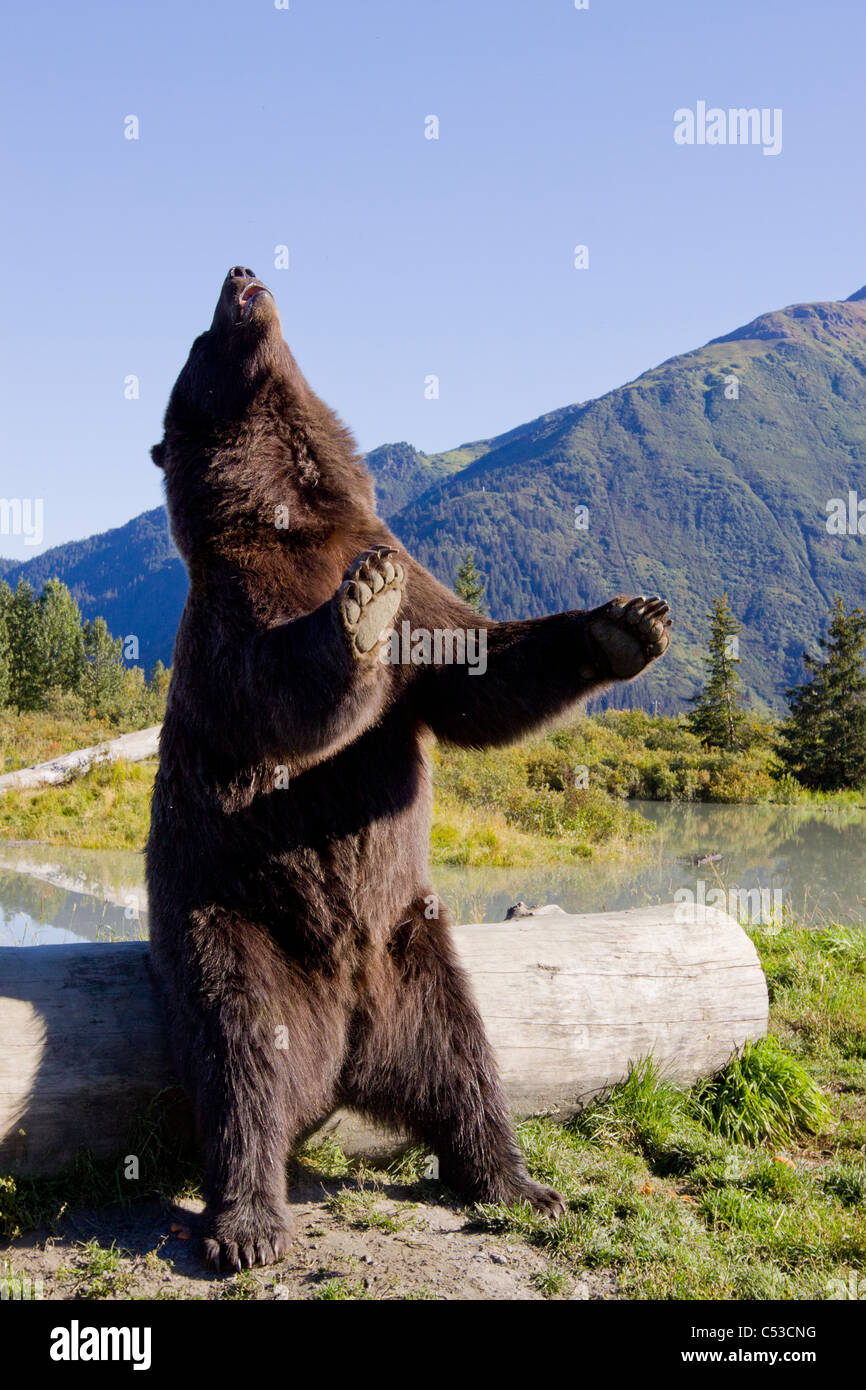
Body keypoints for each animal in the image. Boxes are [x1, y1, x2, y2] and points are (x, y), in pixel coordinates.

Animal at [148, 268, 675, 1273]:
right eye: (197, 341)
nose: (240, 273)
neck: (298, 511)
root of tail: (346, 1043)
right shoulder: (236, 610)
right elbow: (284, 700)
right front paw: (359, 605)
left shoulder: (420, 582)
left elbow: (480, 670)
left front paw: (627, 620)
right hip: (231, 920)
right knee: (240, 1061)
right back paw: (248, 1221)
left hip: (415, 944)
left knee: (466, 1062)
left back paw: (515, 1181)